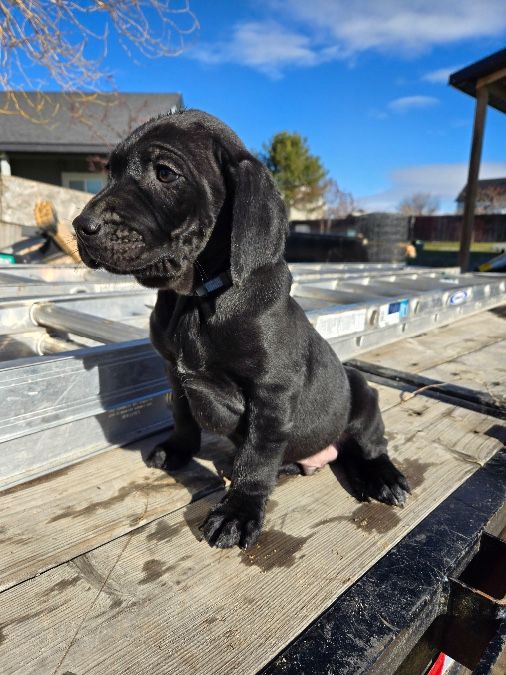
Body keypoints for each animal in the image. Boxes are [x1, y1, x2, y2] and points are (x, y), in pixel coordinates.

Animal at [73, 109, 410, 548]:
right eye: (110, 172)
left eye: (164, 173)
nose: (81, 226)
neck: (195, 299)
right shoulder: (174, 373)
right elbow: (183, 417)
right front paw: (177, 450)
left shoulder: (272, 393)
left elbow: (258, 456)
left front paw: (239, 510)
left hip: (362, 393)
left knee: (369, 445)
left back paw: (383, 477)